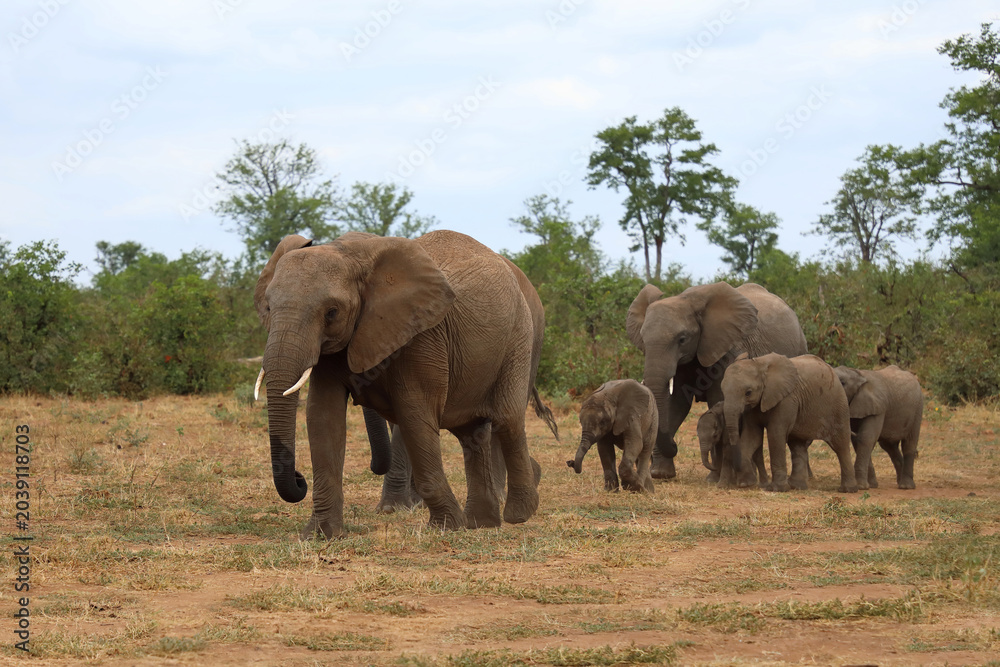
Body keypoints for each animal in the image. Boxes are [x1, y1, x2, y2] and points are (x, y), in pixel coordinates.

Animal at [254, 230, 555, 538]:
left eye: (332, 312)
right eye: (268, 307)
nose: (299, 479)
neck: (356, 253)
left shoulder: (422, 334)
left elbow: (414, 413)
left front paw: (445, 526)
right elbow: (323, 419)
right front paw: (321, 535)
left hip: (520, 337)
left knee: (507, 419)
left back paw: (519, 513)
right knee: (473, 433)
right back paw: (480, 522)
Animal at [626, 282, 807, 481]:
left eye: (682, 339)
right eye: (643, 340)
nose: (674, 445)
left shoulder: (728, 350)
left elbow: (717, 400)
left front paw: (713, 479)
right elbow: (677, 404)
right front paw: (660, 474)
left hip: (800, 347)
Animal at [720, 353, 858, 493]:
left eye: (748, 392)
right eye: (722, 391)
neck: (759, 363)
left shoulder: (786, 400)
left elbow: (775, 434)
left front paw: (776, 489)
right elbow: (752, 436)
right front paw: (745, 483)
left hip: (838, 407)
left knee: (840, 445)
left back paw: (848, 490)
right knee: (797, 445)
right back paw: (797, 486)